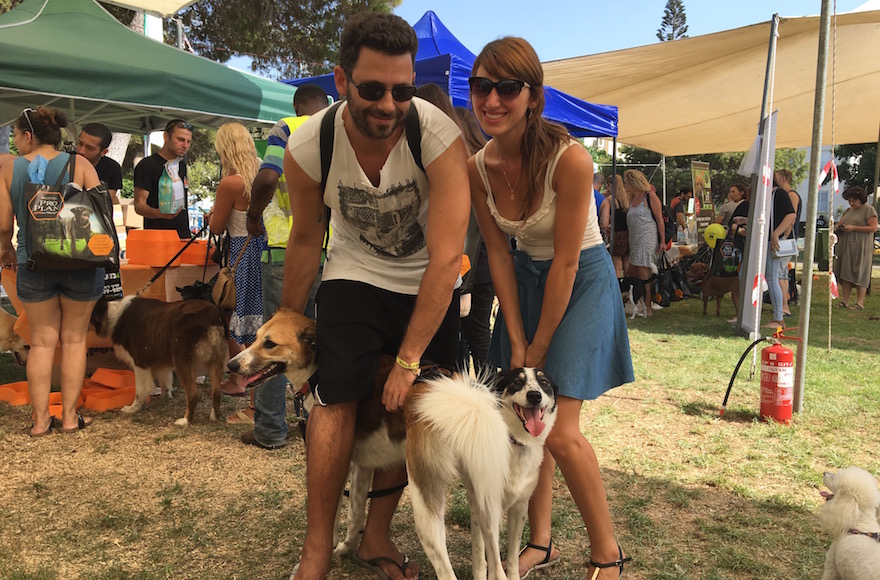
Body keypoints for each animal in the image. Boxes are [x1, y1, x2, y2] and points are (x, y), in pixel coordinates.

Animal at [88, 296, 227, 424]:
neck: (113, 317)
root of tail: (212, 315)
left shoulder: (140, 363)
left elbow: (140, 390)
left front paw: (133, 408)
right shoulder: (161, 361)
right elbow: (164, 379)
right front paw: (165, 395)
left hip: (182, 360)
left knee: (193, 394)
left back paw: (186, 420)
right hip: (215, 362)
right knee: (217, 392)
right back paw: (214, 416)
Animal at [406, 368, 556, 580]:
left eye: (544, 382)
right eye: (517, 383)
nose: (535, 396)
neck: (514, 443)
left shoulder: (519, 507)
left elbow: (511, 559)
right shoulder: (486, 507)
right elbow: (492, 561)